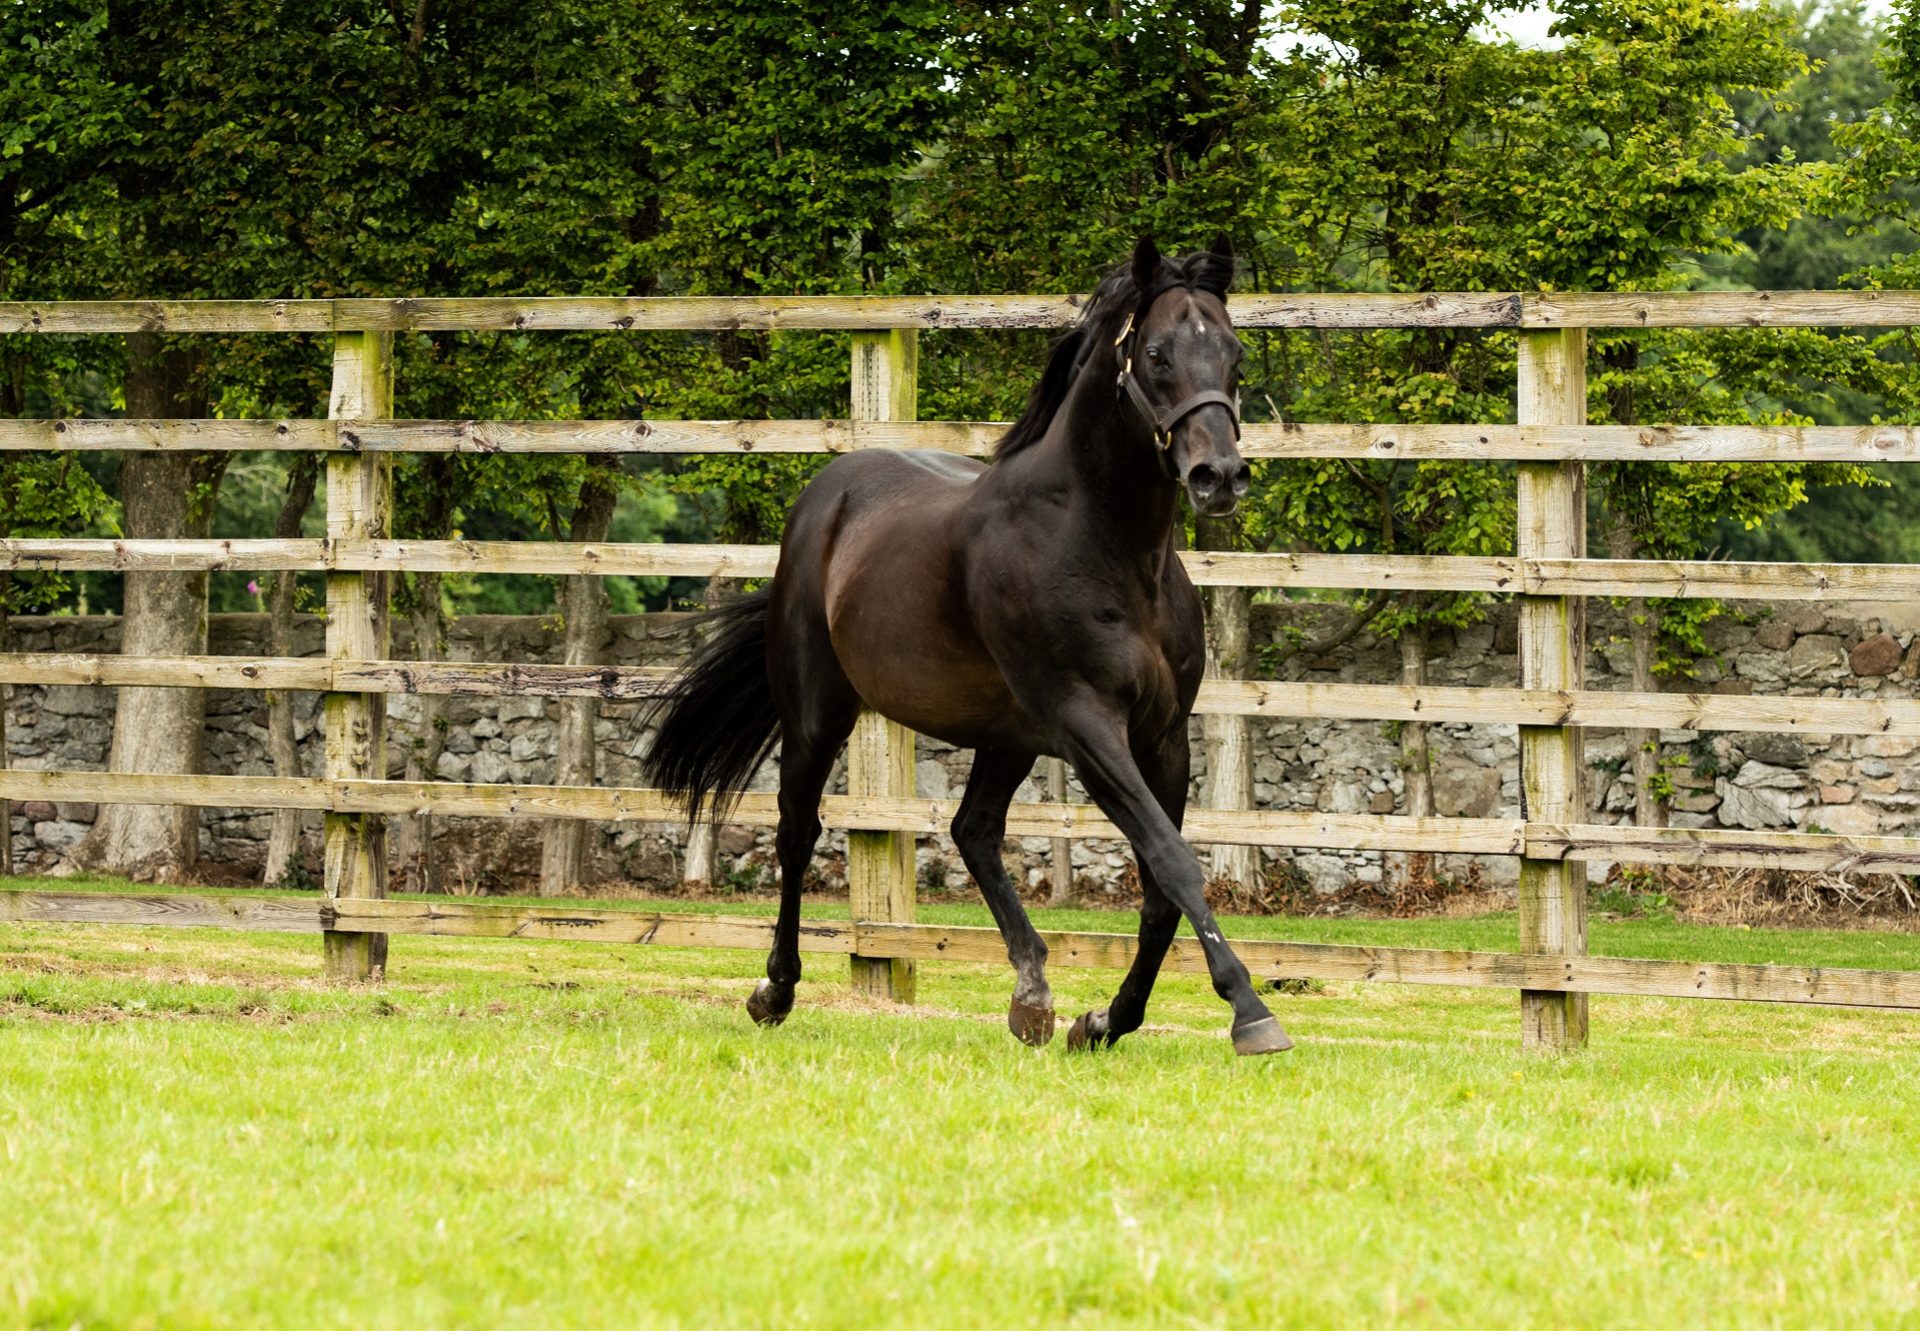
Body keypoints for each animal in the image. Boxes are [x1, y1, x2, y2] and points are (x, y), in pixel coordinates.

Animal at [645, 233, 1290, 1052]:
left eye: (1234, 353)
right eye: (1156, 353)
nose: (1219, 476)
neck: (1105, 547)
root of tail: (828, 494)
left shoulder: (1163, 734)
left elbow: (1158, 885)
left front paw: (1102, 1021)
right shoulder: (1088, 725)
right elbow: (1173, 862)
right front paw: (1251, 1011)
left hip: (1005, 735)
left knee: (973, 830)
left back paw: (1032, 996)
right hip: (819, 711)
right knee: (797, 829)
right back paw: (775, 990)